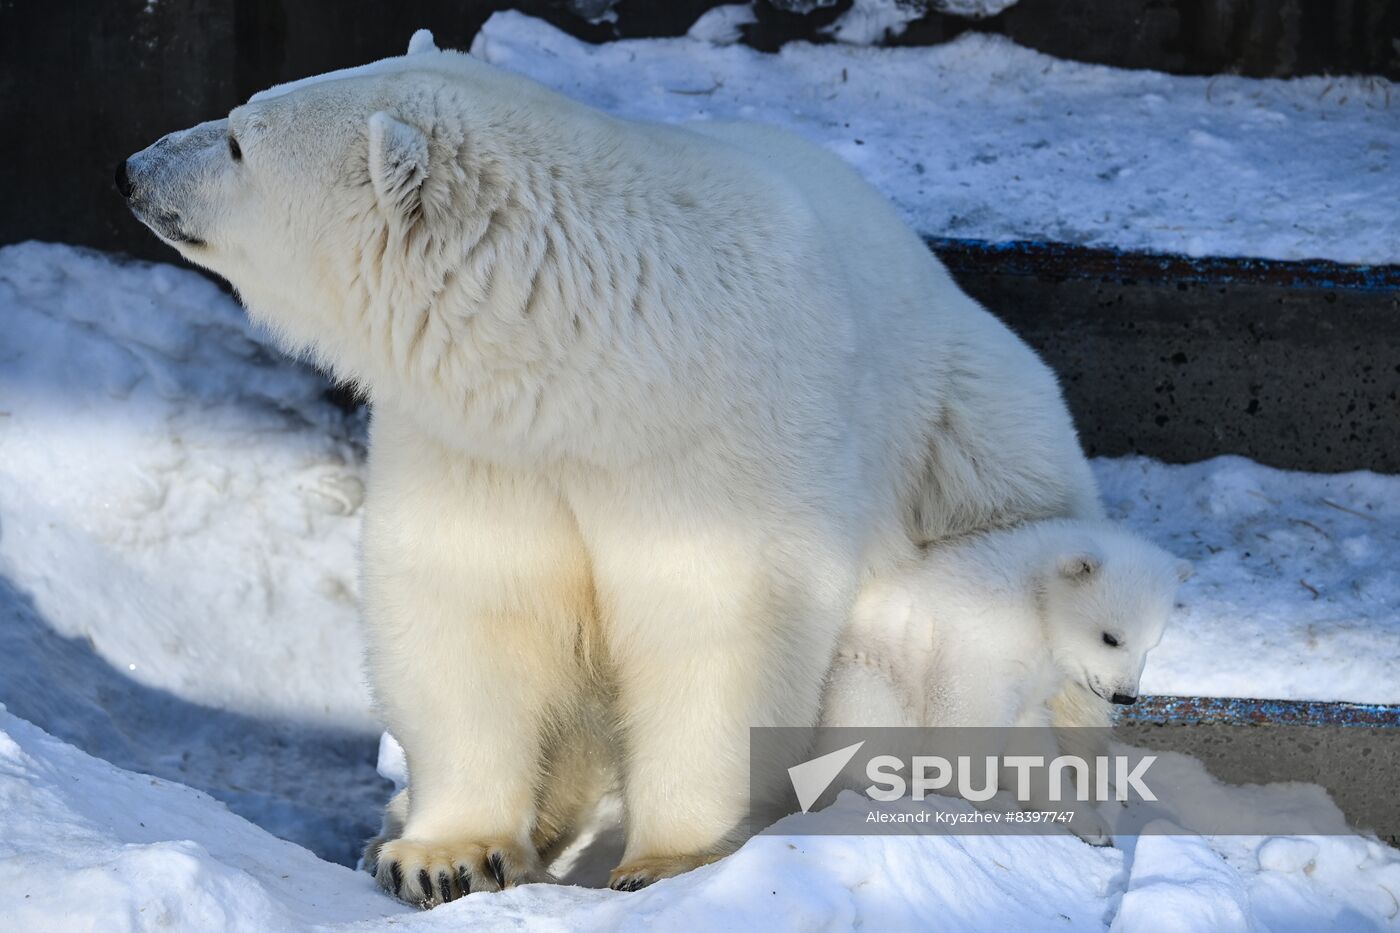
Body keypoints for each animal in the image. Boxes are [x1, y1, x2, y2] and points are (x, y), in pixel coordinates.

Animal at [120, 30, 1097, 902]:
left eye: (240, 137)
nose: (134, 165)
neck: (599, 365)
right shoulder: (481, 444)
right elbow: (468, 605)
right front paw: (443, 855)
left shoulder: (720, 437)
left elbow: (718, 625)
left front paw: (670, 860)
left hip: (975, 444)